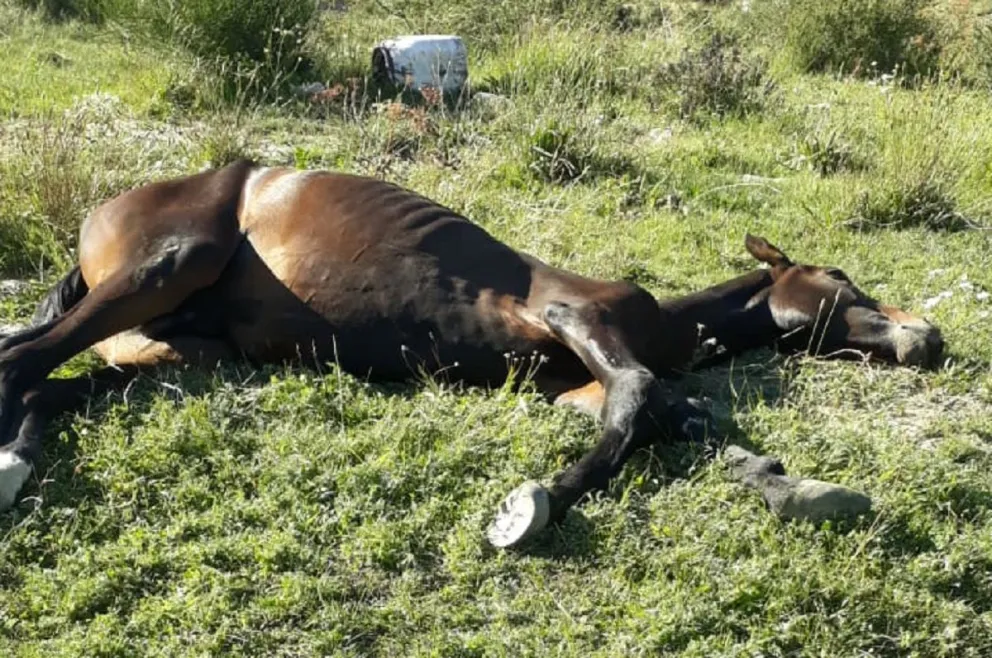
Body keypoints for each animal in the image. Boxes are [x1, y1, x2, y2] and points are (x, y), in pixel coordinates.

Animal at [0, 159, 944, 547]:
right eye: (839, 277)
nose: (928, 339)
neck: (667, 321)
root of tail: (103, 211)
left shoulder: (570, 382)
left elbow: (683, 418)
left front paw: (793, 488)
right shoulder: (572, 319)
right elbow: (642, 401)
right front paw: (536, 506)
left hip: (176, 354)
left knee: (45, 385)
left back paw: (17, 464)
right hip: (166, 267)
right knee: (20, 363)